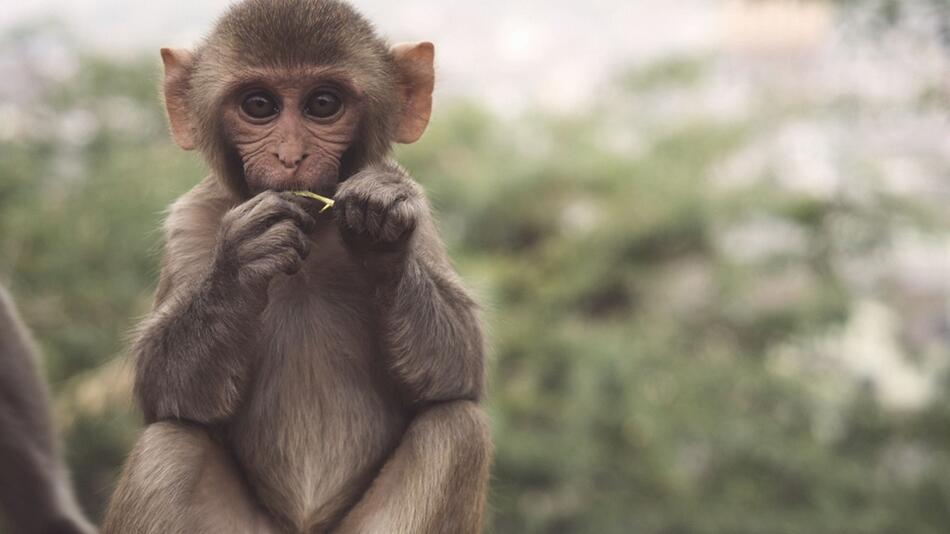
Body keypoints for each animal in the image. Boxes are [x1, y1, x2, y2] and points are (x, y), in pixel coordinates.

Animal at [101, 1, 494, 534]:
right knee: (170, 445)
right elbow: (161, 387)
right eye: (259, 105)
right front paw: (241, 264)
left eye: (323, 104)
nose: (290, 157)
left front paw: (381, 232)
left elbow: (459, 367)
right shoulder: (189, 223)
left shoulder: (424, 219)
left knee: (456, 428)